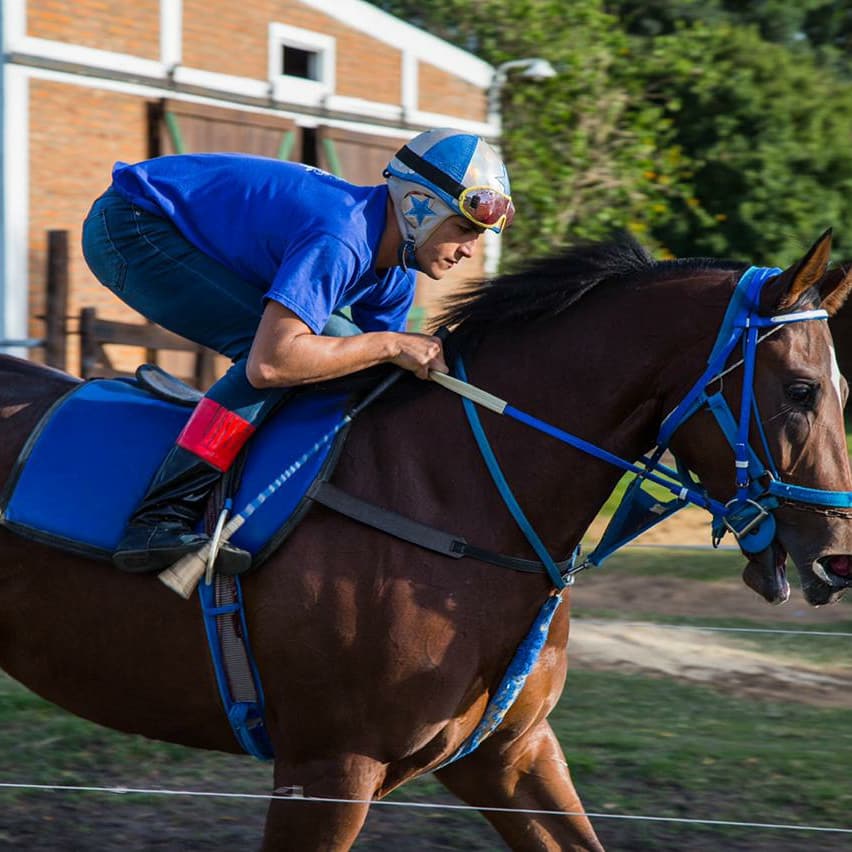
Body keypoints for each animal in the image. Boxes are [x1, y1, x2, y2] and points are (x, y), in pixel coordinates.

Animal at [2, 229, 852, 852]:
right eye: (801, 390)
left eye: (842, 390)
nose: (839, 558)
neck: (456, 493)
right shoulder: (328, 769)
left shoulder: (508, 753)